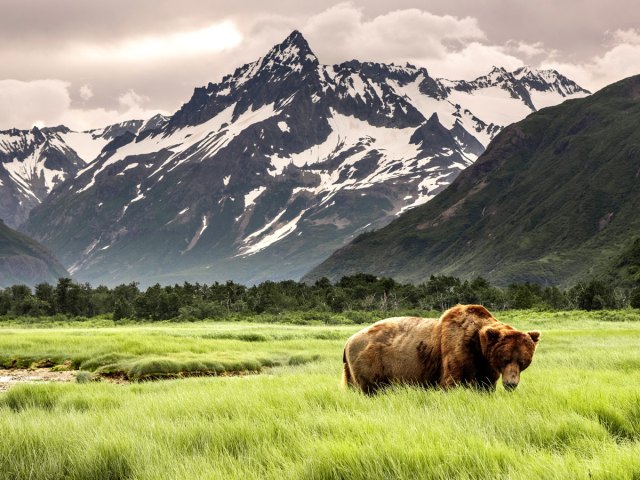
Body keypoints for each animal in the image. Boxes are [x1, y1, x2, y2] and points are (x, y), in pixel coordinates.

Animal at [342, 304, 536, 394]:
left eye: (522, 361)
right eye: (505, 358)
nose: (511, 384)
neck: (478, 346)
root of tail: (348, 340)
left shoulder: (485, 366)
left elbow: (485, 385)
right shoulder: (456, 349)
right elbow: (451, 382)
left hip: (351, 371)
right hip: (371, 361)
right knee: (370, 388)